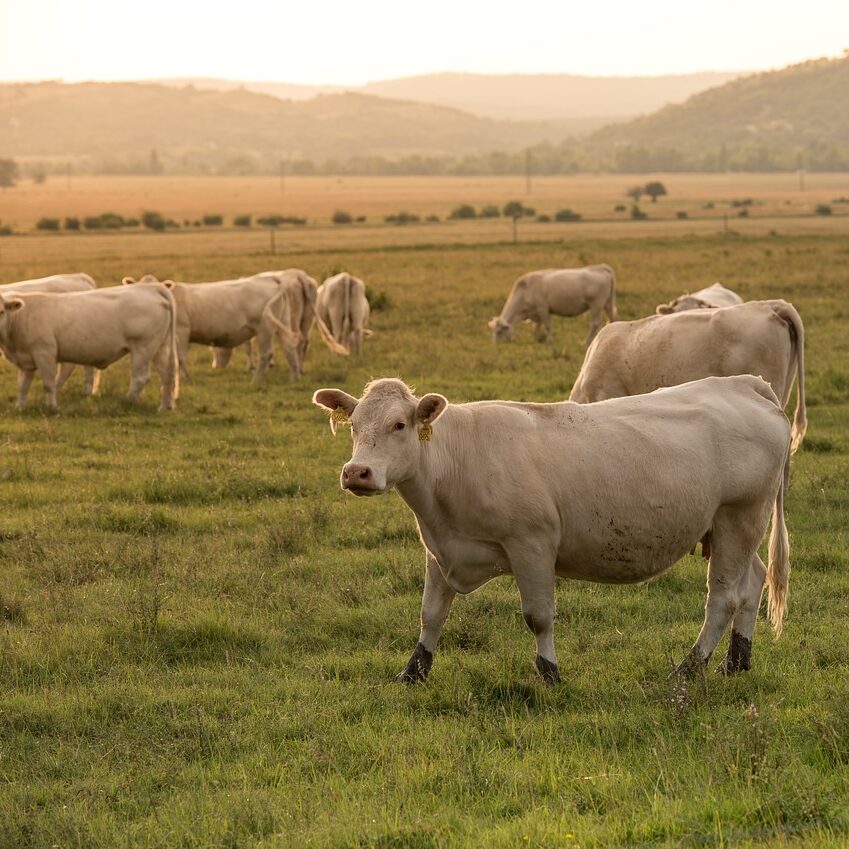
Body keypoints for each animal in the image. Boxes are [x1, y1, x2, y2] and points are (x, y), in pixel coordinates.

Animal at [0, 282, 179, 410]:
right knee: (167, 375)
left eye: (1, 311)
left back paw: (126, 402)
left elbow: (48, 383)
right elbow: (22, 386)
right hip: (160, 347)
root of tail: (150, 288)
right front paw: (19, 407)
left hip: (142, 348)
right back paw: (164, 407)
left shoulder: (44, 353)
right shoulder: (26, 359)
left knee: (140, 378)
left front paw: (51, 407)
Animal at [122, 272, 302, 380]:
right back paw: (294, 378)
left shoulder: (182, 331)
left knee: (266, 354)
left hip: (264, 328)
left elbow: (181, 357)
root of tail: (270, 278)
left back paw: (256, 380)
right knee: (289, 349)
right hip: (282, 322)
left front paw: (185, 378)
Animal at [310, 374, 788, 684]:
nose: (357, 472)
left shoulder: (532, 545)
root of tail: (746, 384)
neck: (456, 460)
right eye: (354, 426)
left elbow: (538, 616)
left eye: (399, 424)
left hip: (739, 517)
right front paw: (413, 671)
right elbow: (430, 615)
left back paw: (689, 667)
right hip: (730, 528)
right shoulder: (440, 549)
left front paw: (550, 673)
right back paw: (735, 662)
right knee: (752, 583)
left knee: (723, 598)